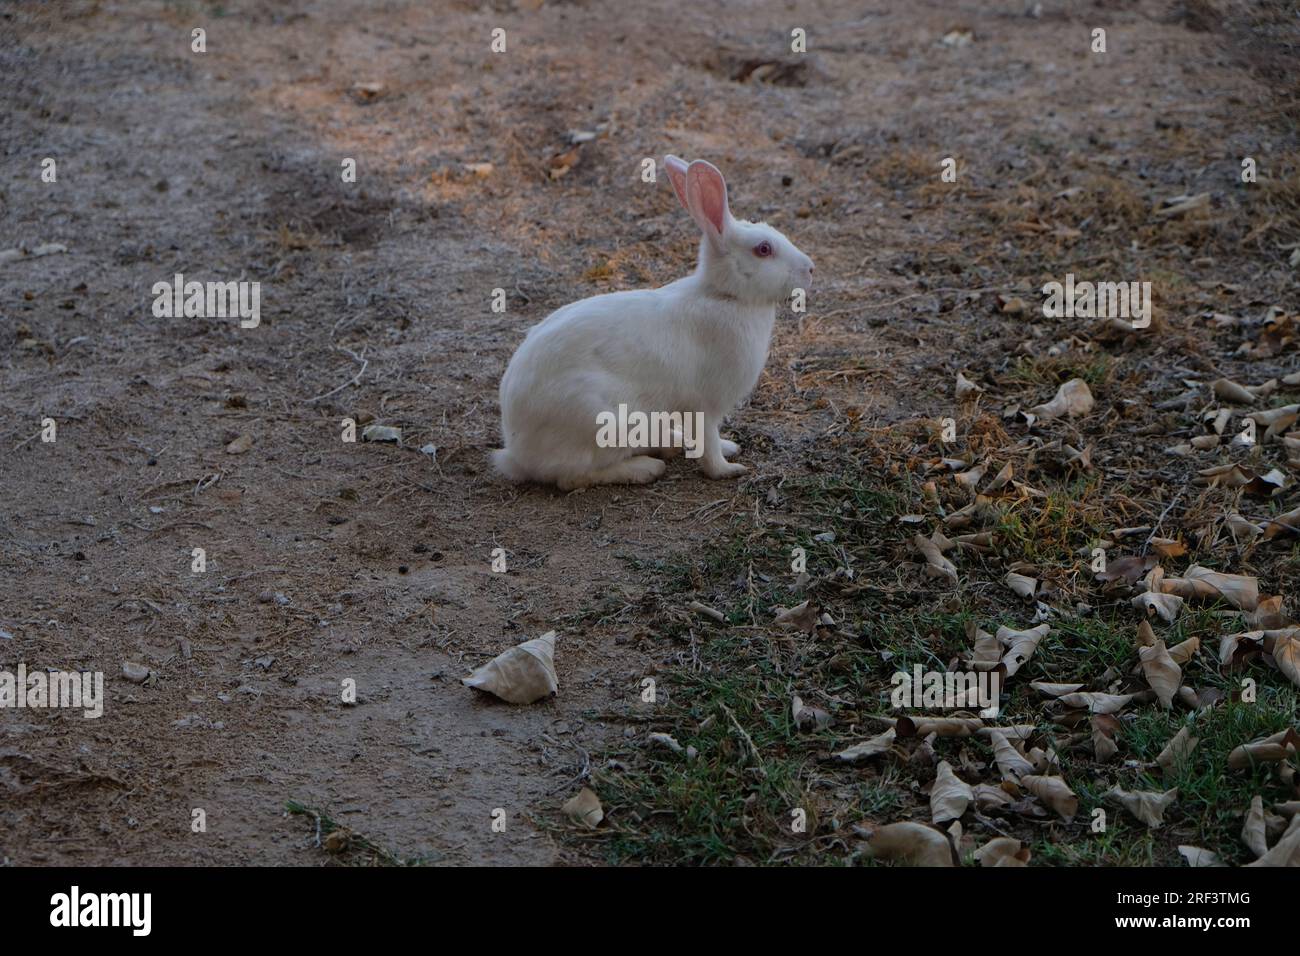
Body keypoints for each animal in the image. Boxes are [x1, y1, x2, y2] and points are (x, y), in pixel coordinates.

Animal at [488, 155, 806, 494]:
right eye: (763, 249)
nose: (810, 269)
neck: (725, 296)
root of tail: (518, 452)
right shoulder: (703, 405)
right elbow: (707, 444)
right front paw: (727, 469)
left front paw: (729, 447)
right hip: (600, 422)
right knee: (572, 477)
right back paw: (645, 468)